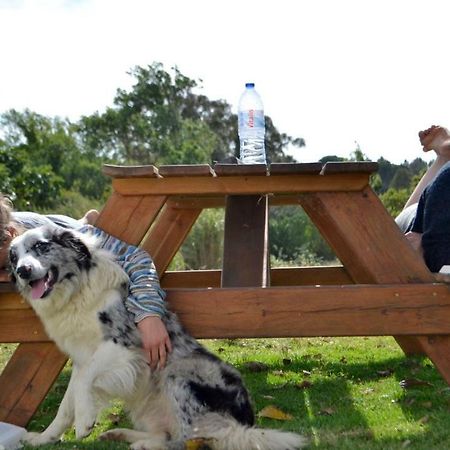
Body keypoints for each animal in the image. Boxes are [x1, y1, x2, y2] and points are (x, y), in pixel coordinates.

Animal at [8, 225, 306, 450]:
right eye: (13, 257)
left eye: (41, 246)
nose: (22, 271)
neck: (76, 292)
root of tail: (245, 422)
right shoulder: (82, 358)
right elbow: (66, 404)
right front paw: (44, 438)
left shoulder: (123, 344)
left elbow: (83, 385)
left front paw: (84, 422)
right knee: (170, 434)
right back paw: (123, 435)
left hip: (177, 374)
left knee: (191, 440)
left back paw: (143, 444)